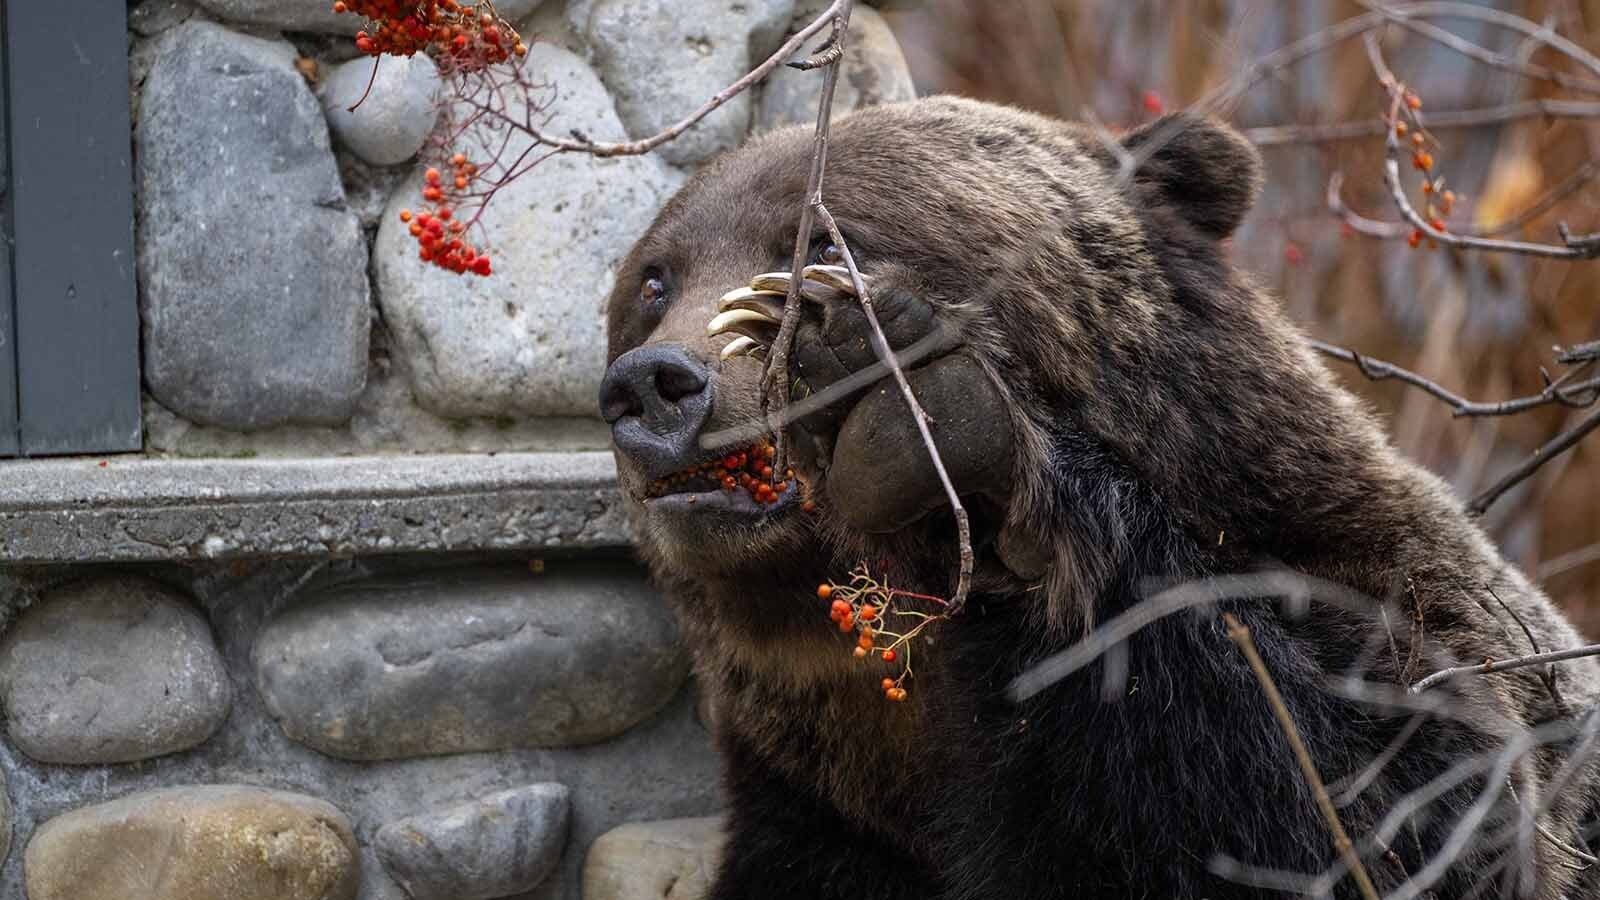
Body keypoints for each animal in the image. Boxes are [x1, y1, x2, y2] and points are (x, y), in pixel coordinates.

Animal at [600, 96, 1600, 899]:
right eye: (654, 279)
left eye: (816, 240)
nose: (656, 383)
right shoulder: (821, 823)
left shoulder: (1413, 610)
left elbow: (1386, 797)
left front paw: (888, 380)